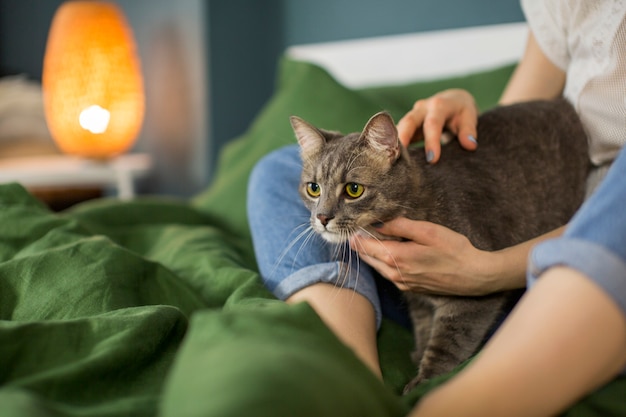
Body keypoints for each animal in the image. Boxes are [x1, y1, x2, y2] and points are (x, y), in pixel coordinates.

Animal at [290, 99, 588, 392]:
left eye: (354, 189)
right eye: (313, 188)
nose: (322, 217)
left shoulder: (472, 299)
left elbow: (447, 346)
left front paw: (423, 383)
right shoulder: (418, 300)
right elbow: (424, 329)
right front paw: (419, 355)